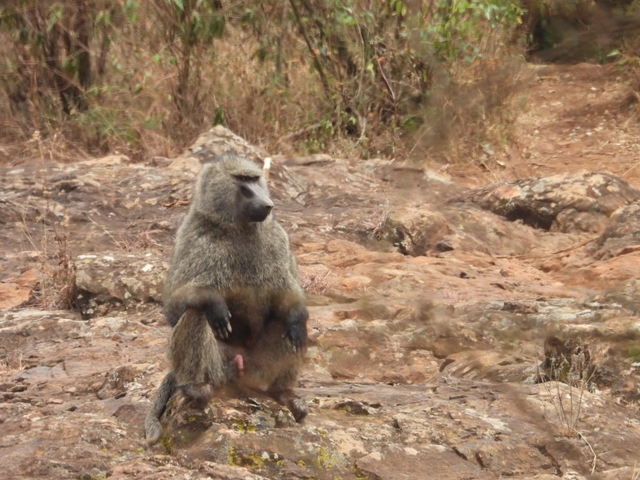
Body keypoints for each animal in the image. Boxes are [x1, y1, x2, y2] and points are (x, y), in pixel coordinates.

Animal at [144, 154, 309, 444]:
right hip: (222, 368)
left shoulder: (278, 238)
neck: (237, 228)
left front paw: (297, 319)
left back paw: (283, 392)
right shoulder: (193, 236)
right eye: (242, 180)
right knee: (195, 313)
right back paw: (196, 386)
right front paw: (215, 304)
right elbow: (174, 305)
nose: (267, 204)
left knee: (288, 326)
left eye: (255, 179)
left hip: (259, 369)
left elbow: (288, 296)